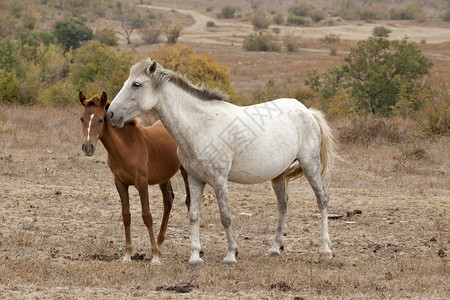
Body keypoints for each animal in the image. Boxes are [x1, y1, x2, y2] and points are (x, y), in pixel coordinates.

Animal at [79, 91, 188, 264]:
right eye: (82, 118)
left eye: (101, 119)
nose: (88, 148)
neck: (127, 147)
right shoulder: (120, 183)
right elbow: (126, 216)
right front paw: (127, 255)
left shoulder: (141, 183)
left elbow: (147, 216)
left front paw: (155, 256)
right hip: (163, 176)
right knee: (168, 200)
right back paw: (159, 242)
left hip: (186, 172)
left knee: (190, 202)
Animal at [106, 58, 338, 268]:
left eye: (136, 84)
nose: (110, 114)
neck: (201, 125)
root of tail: (307, 111)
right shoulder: (195, 179)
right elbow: (193, 215)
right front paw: (195, 257)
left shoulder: (219, 181)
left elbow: (225, 216)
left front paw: (231, 255)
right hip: (278, 175)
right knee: (283, 205)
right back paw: (274, 249)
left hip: (310, 165)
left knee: (322, 200)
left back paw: (325, 250)